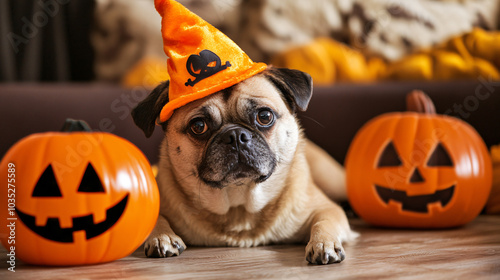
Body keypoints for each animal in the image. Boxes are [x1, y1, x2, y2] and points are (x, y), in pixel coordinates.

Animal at [131, 65, 358, 264]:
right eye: (198, 126)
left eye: (264, 116)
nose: (235, 135)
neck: (238, 206)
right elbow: (153, 218)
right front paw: (162, 237)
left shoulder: (326, 208)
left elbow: (324, 221)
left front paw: (323, 244)